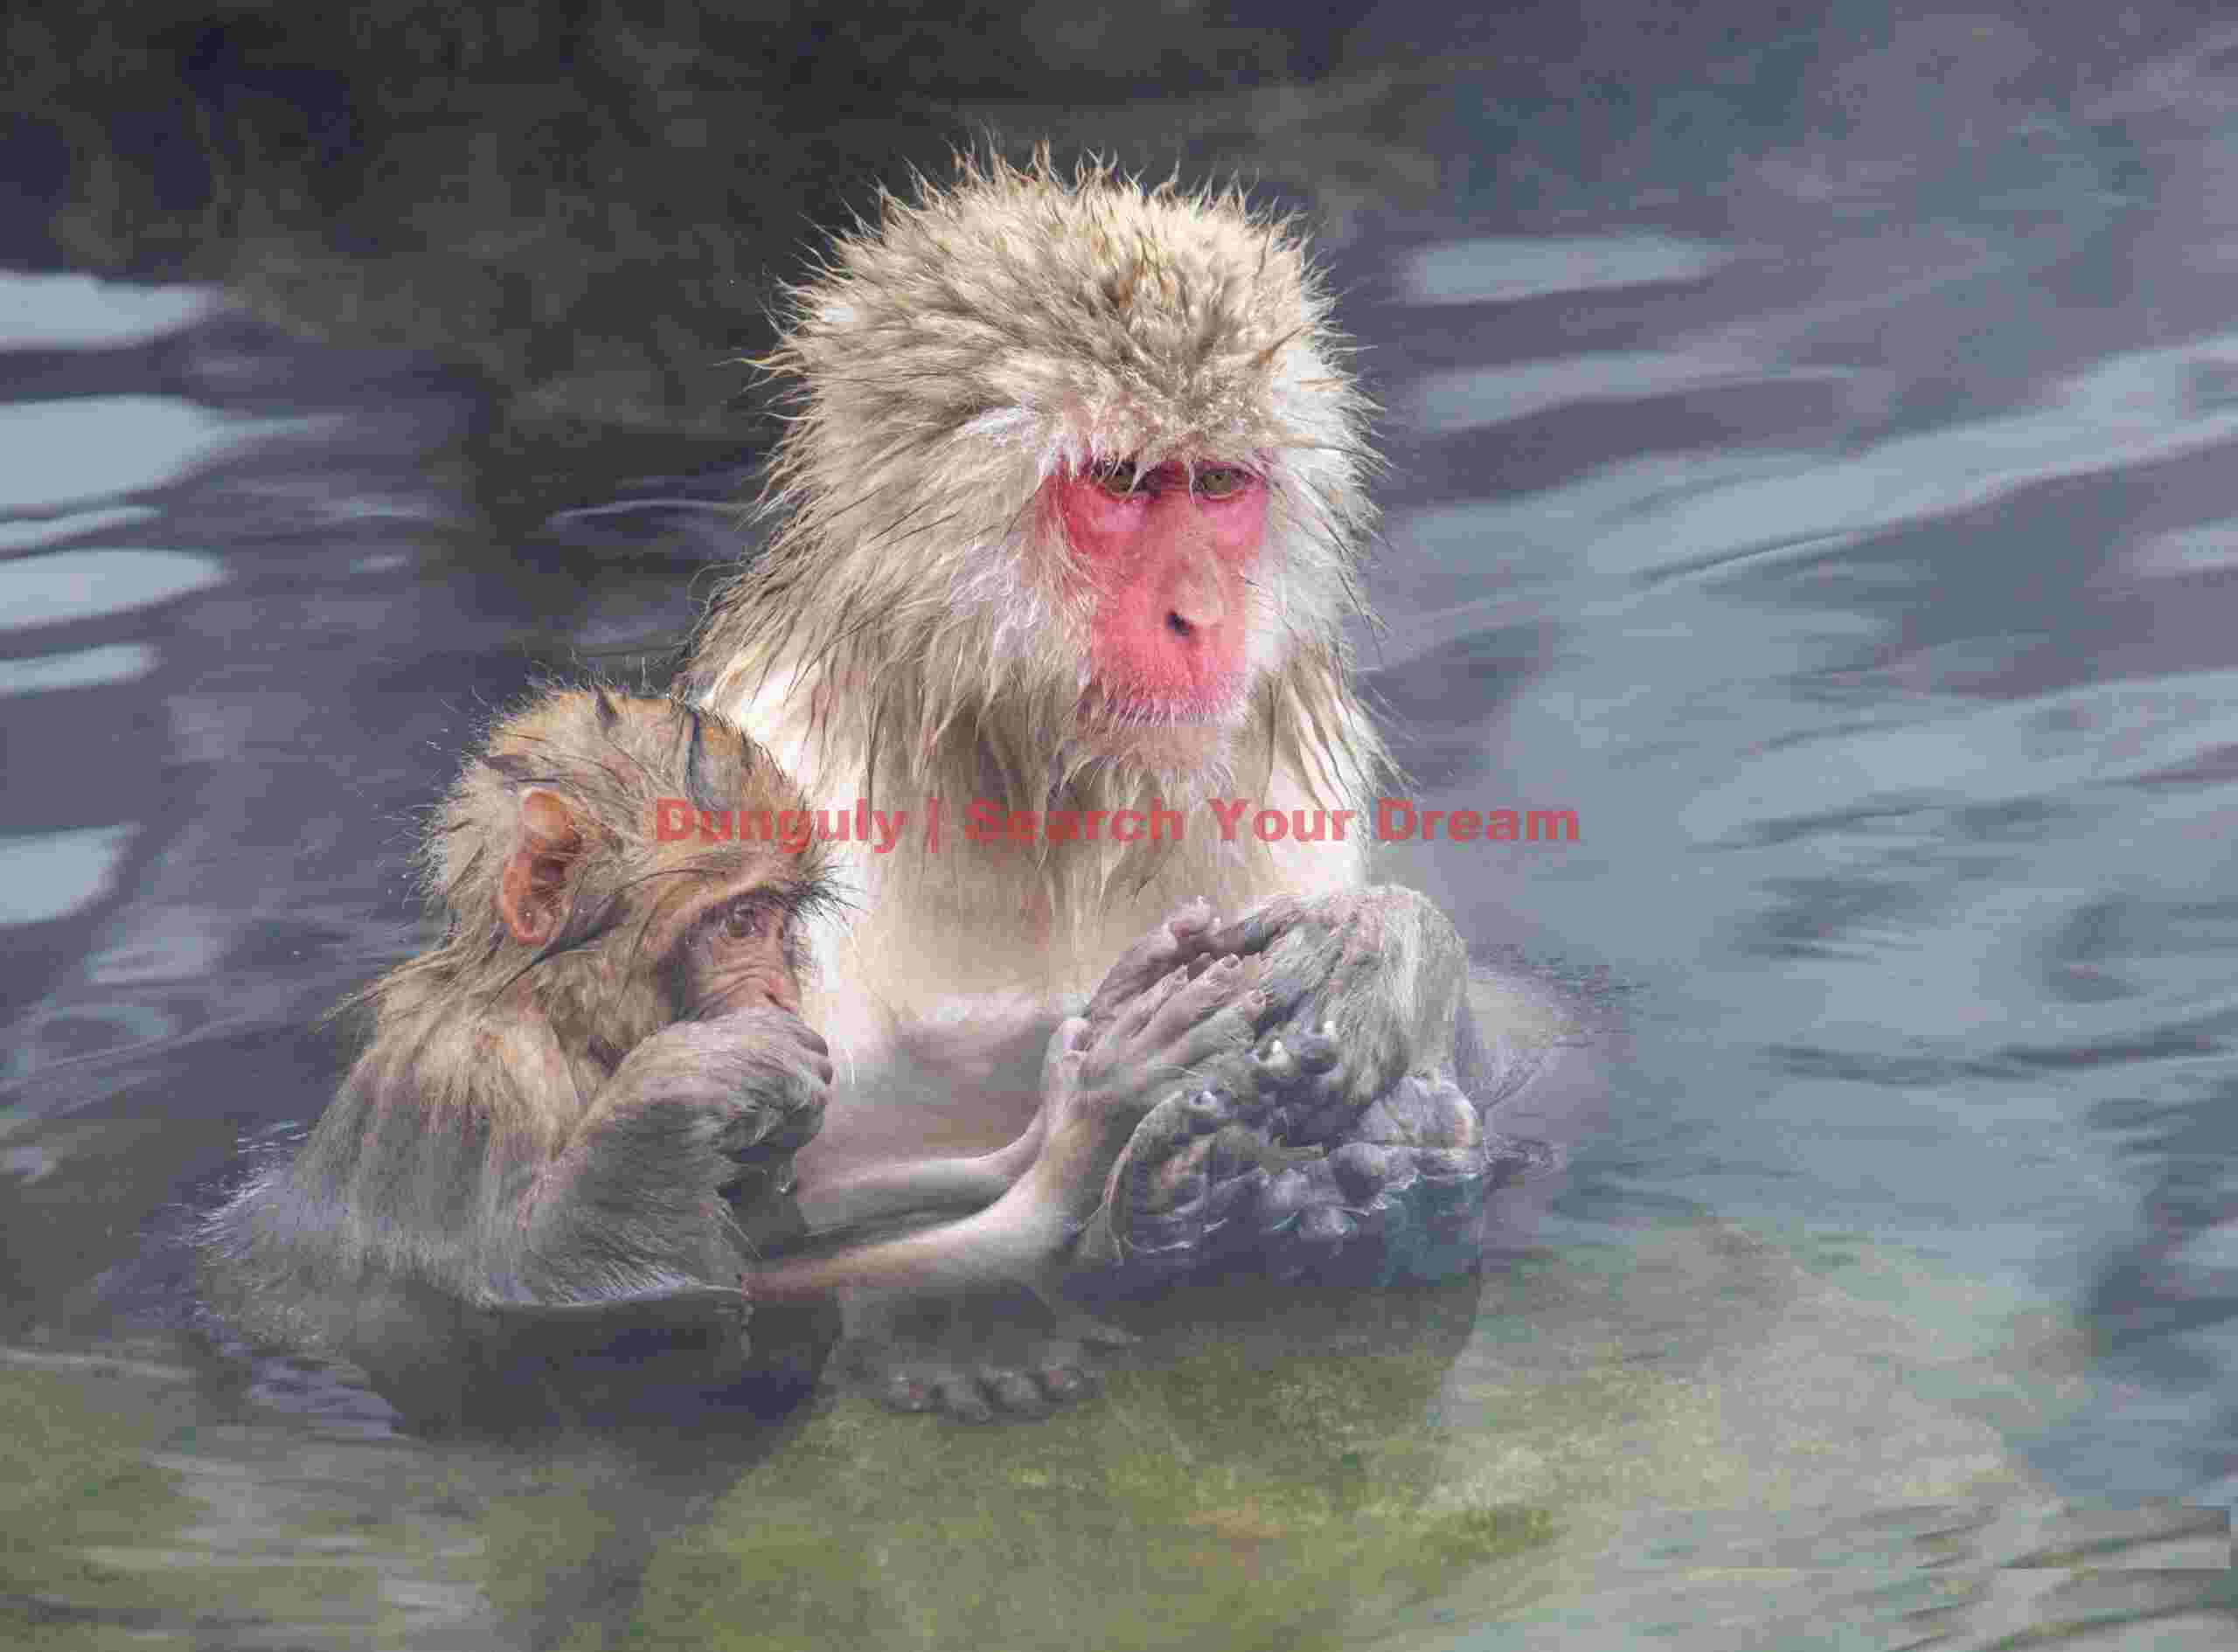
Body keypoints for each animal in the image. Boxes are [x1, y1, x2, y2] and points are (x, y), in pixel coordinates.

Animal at [197, 685, 1277, 1430]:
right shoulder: (477, 1076)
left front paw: (1055, 1112)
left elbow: (769, 1231)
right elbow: (561, 1292)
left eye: (774, 917)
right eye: (733, 922)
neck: (558, 1014)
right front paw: (1078, 1136)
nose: (776, 996)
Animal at [682, 148, 1561, 1421]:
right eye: (1121, 482)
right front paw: (976, 1313)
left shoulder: (1283, 767)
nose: (1200, 617)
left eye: (1220, 484)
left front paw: (1381, 974)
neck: (1039, 773)